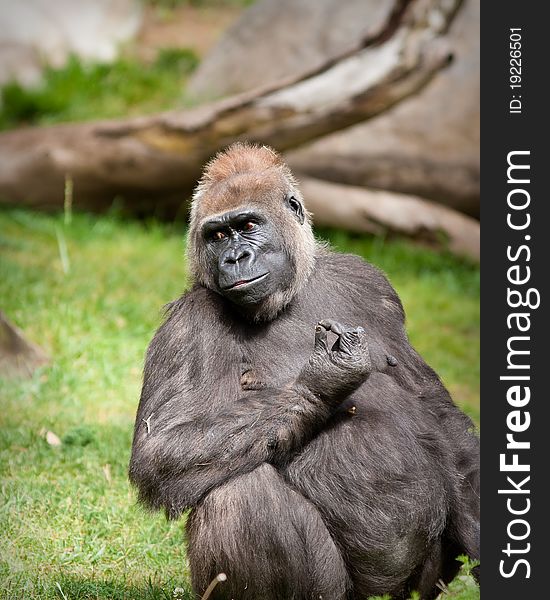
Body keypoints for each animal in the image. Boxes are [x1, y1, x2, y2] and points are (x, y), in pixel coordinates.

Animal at [129, 143, 478, 596]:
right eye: (217, 235)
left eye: (247, 225)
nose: (234, 257)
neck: (290, 295)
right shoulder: (188, 324)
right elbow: (162, 447)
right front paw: (322, 383)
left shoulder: (372, 283)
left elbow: (437, 412)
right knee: (239, 494)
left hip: (420, 588)